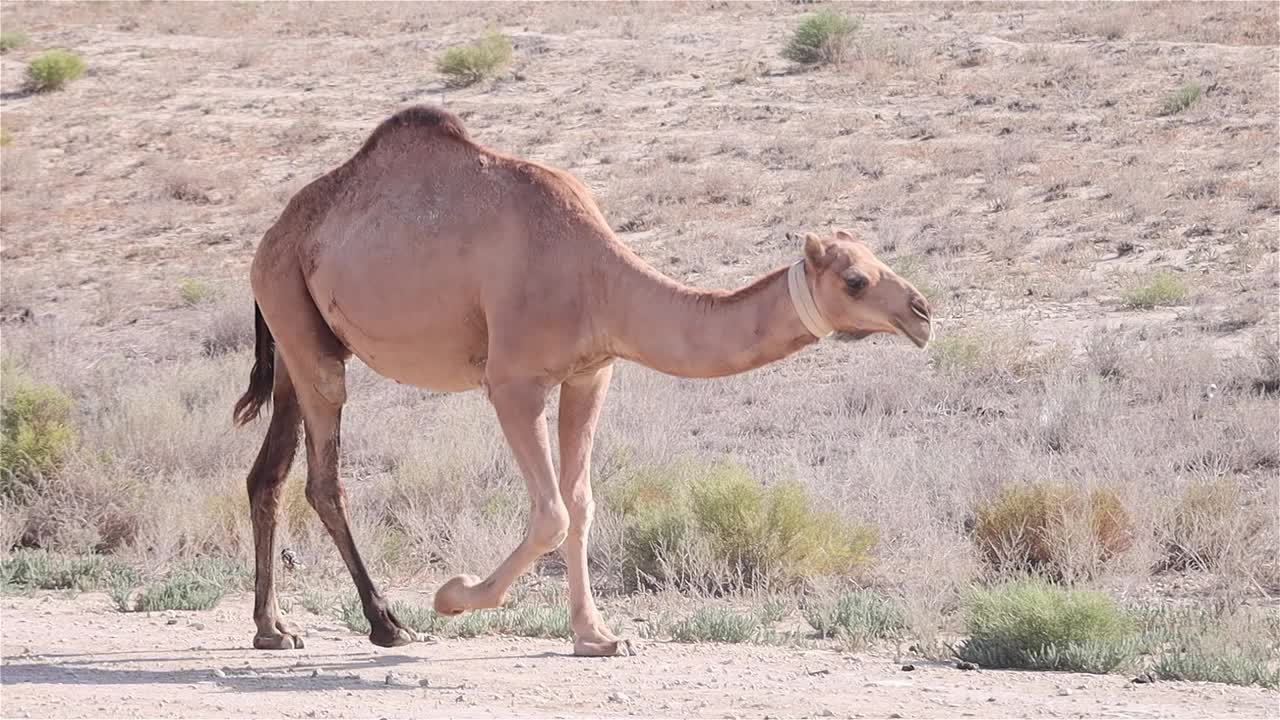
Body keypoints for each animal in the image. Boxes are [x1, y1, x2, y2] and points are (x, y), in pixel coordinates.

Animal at [230, 105, 931, 655]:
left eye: (877, 261)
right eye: (855, 279)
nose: (921, 312)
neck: (597, 277)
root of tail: (270, 238)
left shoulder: (591, 373)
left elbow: (583, 503)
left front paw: (596, 636)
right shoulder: (514, 381)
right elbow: (551, 513)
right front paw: (453, 595)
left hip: (296, 339)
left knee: (268, 473)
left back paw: (273, 629)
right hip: (300, 319)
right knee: (325, 478)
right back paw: (388, 624)